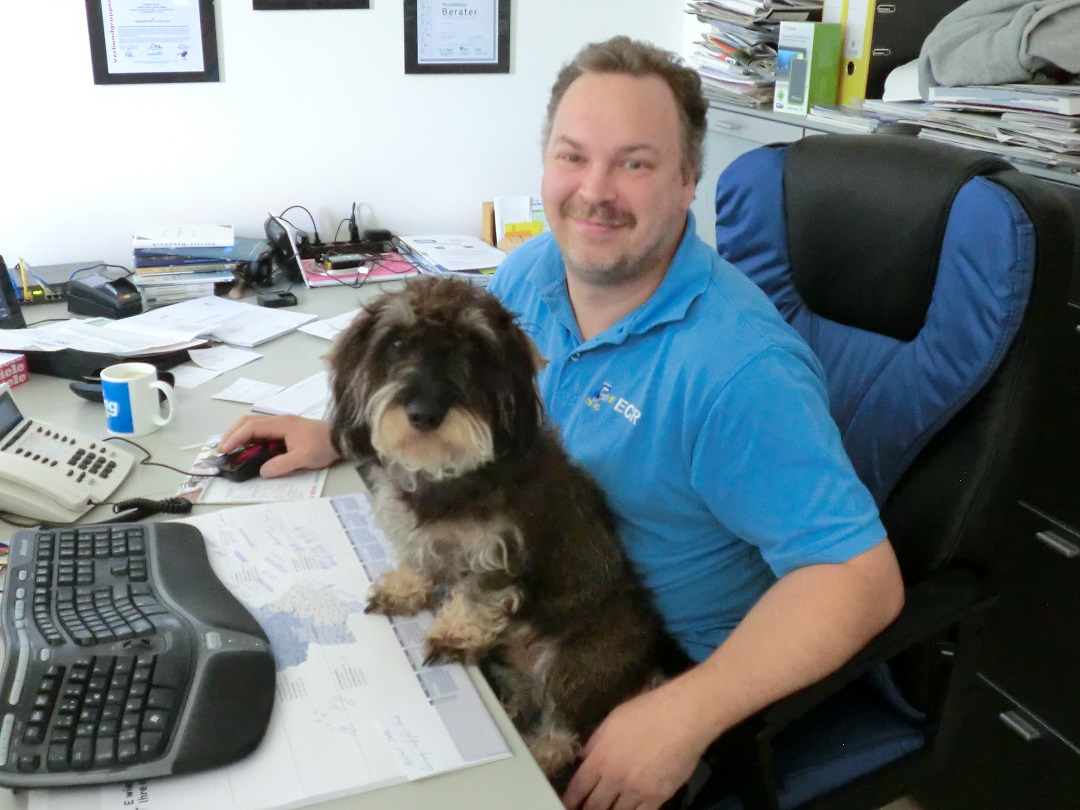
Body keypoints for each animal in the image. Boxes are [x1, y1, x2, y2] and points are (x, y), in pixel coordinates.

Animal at [326, 275, 682, 779]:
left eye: (475, 348)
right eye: (395, 343)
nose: (424, 414)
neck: (449, 475)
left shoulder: (500, 554)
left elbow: (477, 597)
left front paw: (454, 634)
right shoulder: (413, 531)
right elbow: (416, 558)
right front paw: (404, 589)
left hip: (572, 665)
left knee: (564, 731)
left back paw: (542, 748)